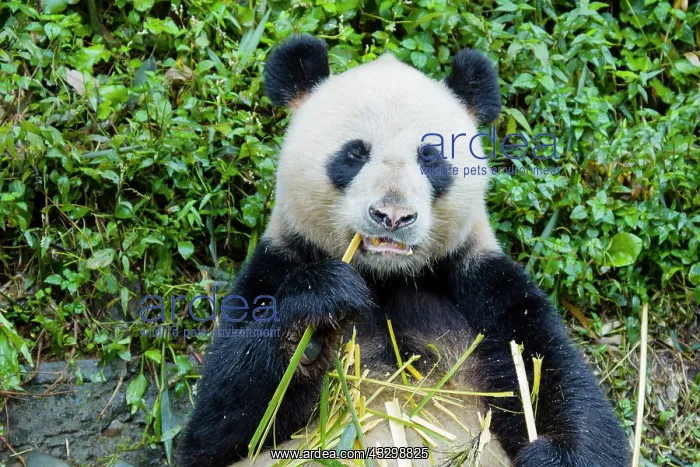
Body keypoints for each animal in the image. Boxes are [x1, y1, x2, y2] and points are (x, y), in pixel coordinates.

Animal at [177, 35, 628, 467]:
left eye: (430, 158)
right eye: (354, 153)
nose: (392, 215)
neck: (384, 278)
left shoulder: (482, 282)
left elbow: (554, 382)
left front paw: (552, 452)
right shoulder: (278, 265)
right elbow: (217, 428)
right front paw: (321, 304)